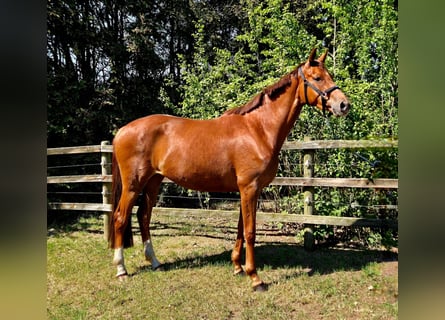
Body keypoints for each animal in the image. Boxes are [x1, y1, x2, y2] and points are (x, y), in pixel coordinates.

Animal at [109, 47, 348, 290]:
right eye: (317, 78)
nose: (343, 104)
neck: (257, 129)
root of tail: (122, 130)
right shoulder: (249, 188)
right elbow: (250, 231)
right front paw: (255, 278)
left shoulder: (248, 190)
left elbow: (241, 229)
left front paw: (238, 268)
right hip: (133, 185)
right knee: (120, 217)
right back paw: (121, 270)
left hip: (153, 182)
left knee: (143, 216)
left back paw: (155, 262)